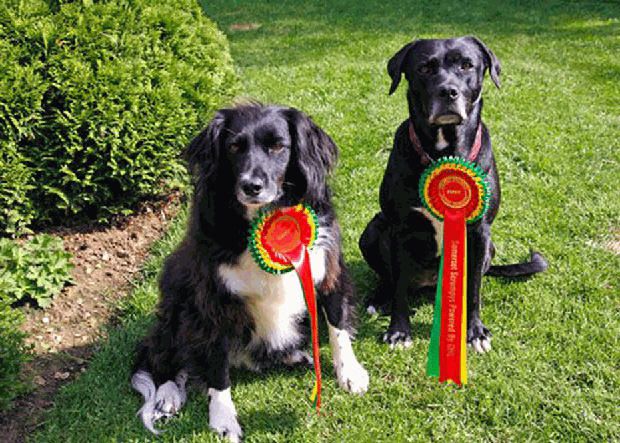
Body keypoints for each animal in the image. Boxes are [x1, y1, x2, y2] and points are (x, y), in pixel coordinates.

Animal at [128, 104, 366, 440]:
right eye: (233, 147)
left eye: (278, 146)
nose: (252, 186)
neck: (262, 220)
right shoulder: (212, 300)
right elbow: (216, 367)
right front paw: (223, 418)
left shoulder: (327, 270)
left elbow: (338, 326)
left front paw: (350, 373)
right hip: (176, 300)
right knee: (165, 357)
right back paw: (168, 393)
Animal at [358, 36, 548, 352]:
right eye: (424, 67)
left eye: (467, 65)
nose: (448, 91)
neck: (443, 151)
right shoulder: (398, 228)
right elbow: (399, 286)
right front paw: (399, 332)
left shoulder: (480, 232)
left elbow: (474, 290)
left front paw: (475, 332)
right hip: (373, 228)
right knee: (388, 277)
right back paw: (378, 298)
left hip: (490, 247)